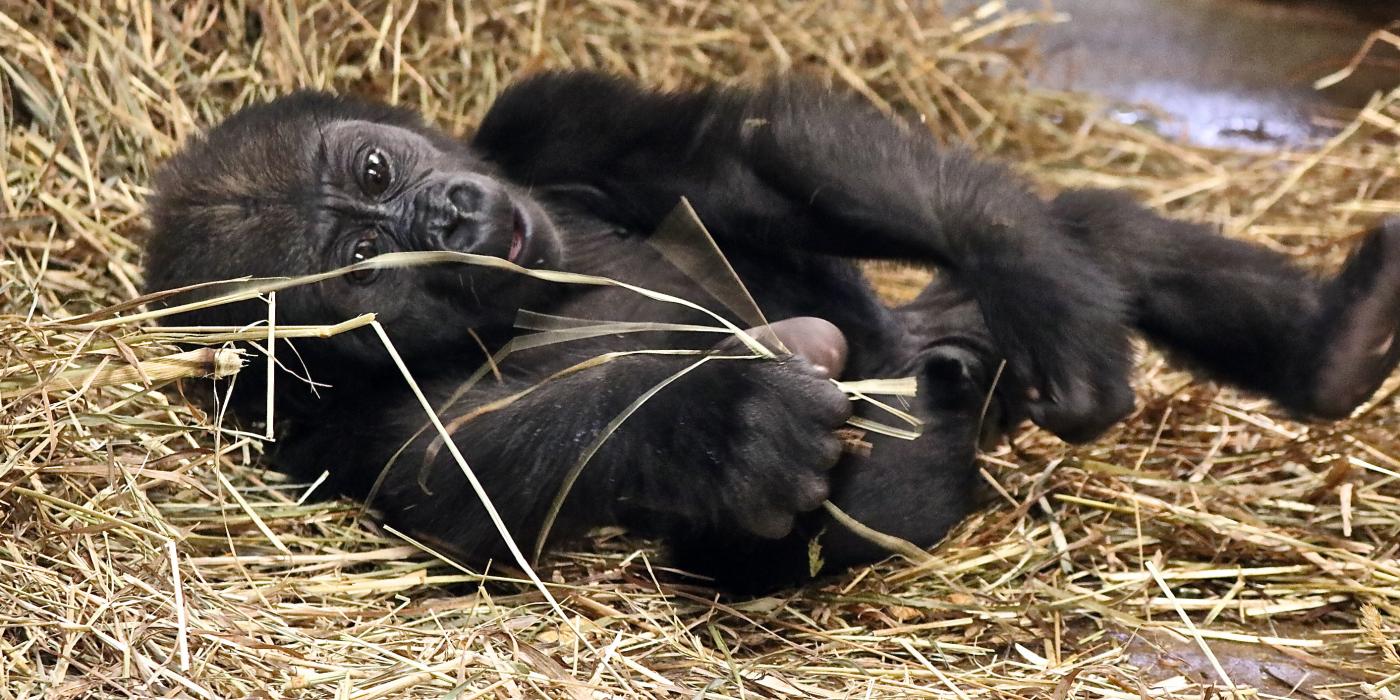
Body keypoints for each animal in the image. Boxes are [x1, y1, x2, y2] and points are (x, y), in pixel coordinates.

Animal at [144, 71, 1400, 588]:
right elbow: (465, 486)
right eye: (361, 268)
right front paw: (728, 426)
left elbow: (744, 152)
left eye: (374, 168)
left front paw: (1034, 279)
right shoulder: (321, 429)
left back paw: (1333, 347)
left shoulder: (540, 125)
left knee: (1097, 236)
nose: (448, 219)